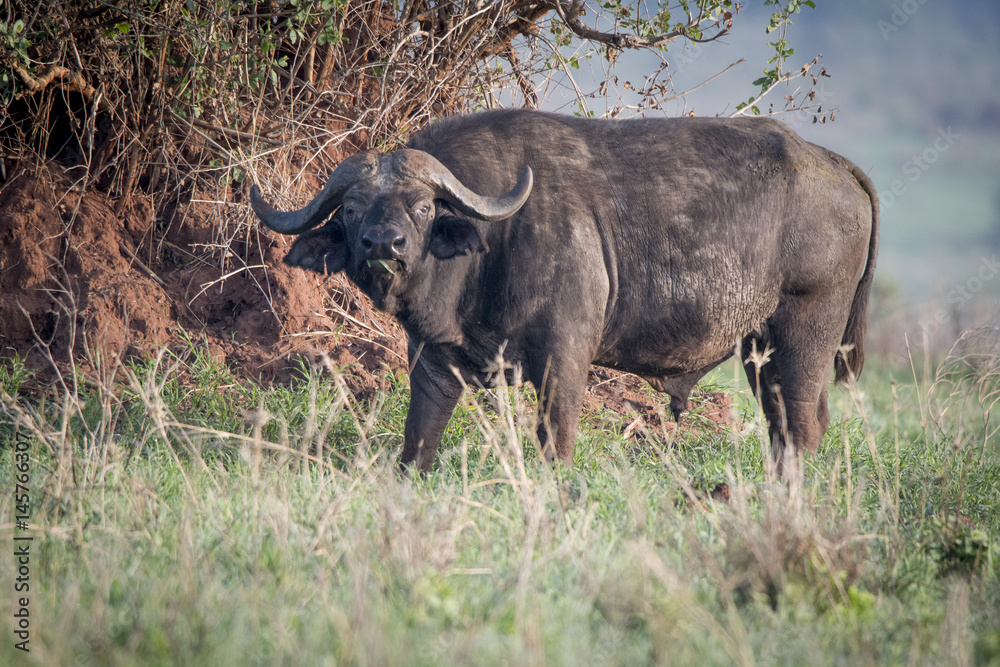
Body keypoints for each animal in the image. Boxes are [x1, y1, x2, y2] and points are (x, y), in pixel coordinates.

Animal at [250, 109, 876, 472]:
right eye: (353, 209)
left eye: (424, 206)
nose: (385, 244)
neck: (492, 246)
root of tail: (832, 161)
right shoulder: (433, 363)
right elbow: (417, 441)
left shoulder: (565, 356)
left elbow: (557, 441)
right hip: (759, 349)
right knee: (784, 423)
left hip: (804, 334)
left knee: (801, 426)